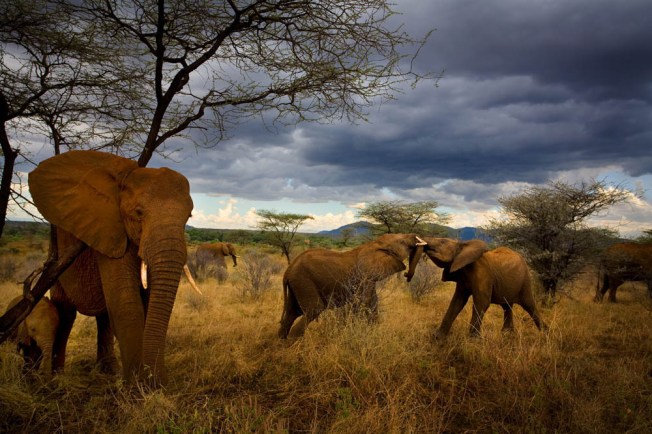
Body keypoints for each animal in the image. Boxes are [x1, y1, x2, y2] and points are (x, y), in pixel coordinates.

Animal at [28, 150, 196, 386]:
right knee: (66, 313)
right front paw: (136, 386)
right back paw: (58, 377)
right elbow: (127, 303)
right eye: (138, 213)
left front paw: (146, 382)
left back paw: (108, 372)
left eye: (188, 216)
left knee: (104, 316)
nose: (160, 381)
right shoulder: (110, 231)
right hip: (57, 258)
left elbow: (145, 302)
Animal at [278, 233, 426, 339]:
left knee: (292, 313)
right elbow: (363, 303)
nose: (407, 275)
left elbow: (373, 304)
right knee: (314, 310)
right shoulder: (364, 276)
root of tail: (288, 271)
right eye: (402, 242)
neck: (376, 243)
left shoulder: (369, 279)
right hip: (304, 281)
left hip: (297, 284)